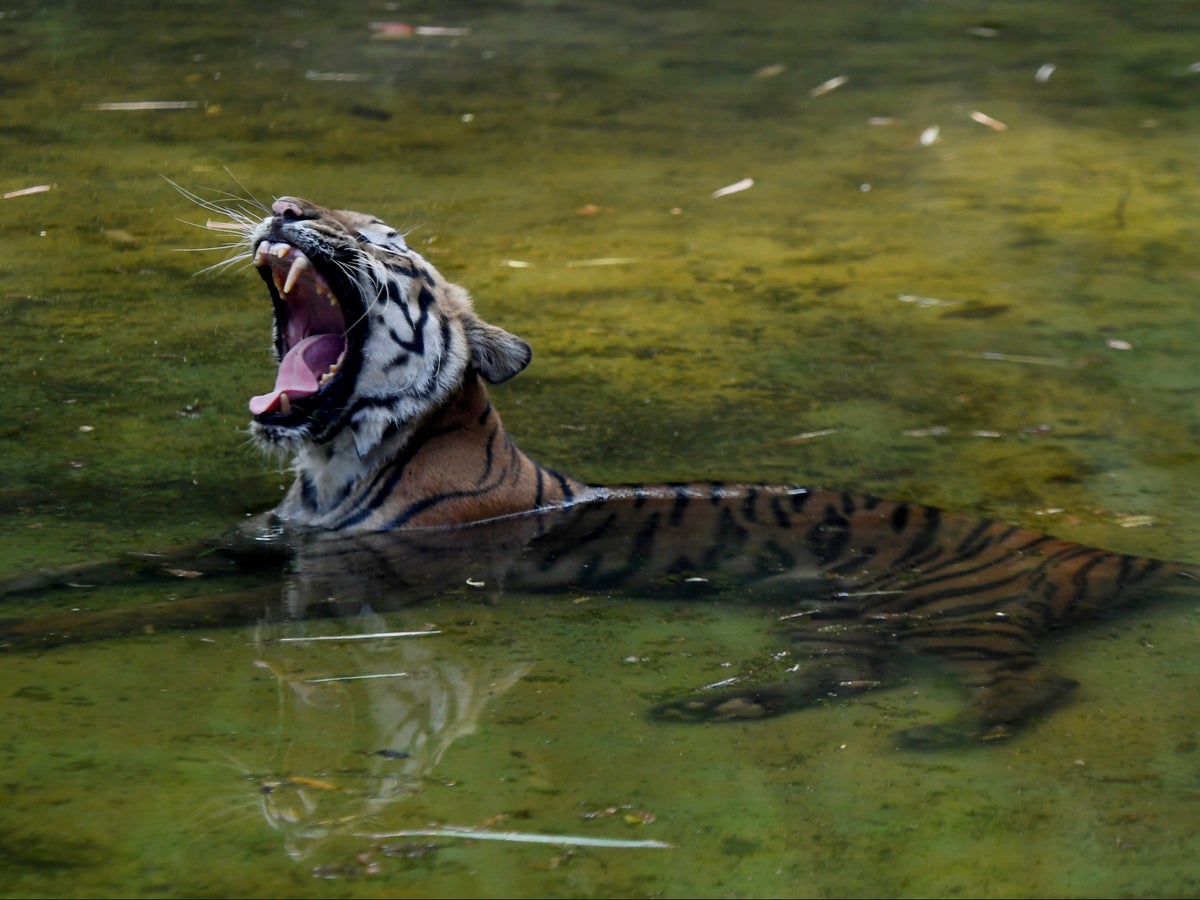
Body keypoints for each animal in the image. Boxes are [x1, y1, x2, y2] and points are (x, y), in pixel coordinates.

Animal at [2, 194, 1190, 748]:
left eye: (380, 240)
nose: (290, 208)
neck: (331, 466)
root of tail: (1080, 544)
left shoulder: (342, 581)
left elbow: (130, 613)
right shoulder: (263, 541)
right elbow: (111, 571)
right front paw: (27, 583)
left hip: (954, 617)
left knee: (1032, 683)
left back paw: (946, 734)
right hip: (838, 619)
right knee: (846, 675)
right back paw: (720, 708)